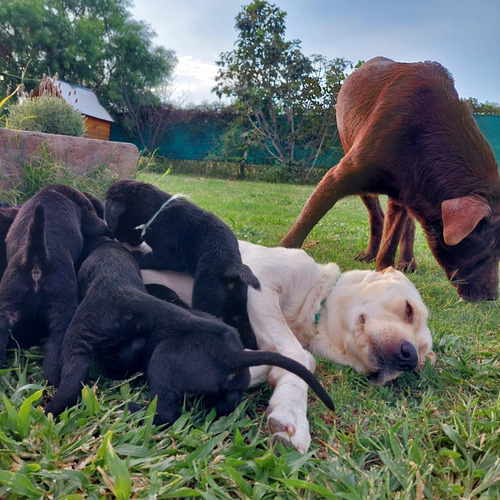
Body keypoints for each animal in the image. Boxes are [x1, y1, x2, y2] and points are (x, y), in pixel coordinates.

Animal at [0, 184, 109, 382]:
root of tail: (36, 258)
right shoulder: (90, 217)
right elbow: (100, 225)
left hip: (7, 306)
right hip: (62, 313)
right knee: (54, 350)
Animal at [45, 238, 334, 422]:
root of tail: (231, 356)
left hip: (162, 361)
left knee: (164, 413)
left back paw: (132, 409)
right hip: (233, 383)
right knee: (228, 402)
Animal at [105, 182, 262, 350]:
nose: (114, 235)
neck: (155, 212)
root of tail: (232, 267)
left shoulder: (169, 256)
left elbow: (149, 258)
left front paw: (135, 255)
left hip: (207, 292)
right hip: (238, 305)